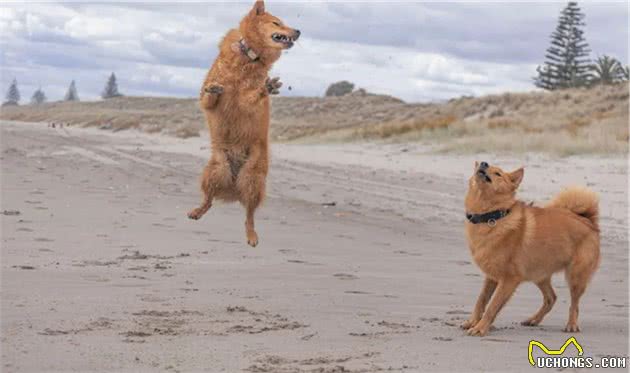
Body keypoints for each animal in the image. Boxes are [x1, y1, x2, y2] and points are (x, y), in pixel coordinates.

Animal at [188, 1, 302, 246]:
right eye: (277, 23)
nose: (298, 31)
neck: (248, 57)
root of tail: (233, 184)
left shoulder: (245, 105)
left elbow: (251, 97)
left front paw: (266, 88)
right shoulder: (210, 102)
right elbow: (209, 95)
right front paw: (214, 89)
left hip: (252, 178)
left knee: (249, 214)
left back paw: (252, 236)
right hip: (216, 170)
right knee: (209, 200)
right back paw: (197, 211)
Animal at [464, 161, 604, 336]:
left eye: (498, 174)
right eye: (483, 165)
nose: (483, 163)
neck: (492, 216)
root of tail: (587, 221)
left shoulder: (509, 279)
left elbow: (492, 306)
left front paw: (480, 327)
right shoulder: (492, 276)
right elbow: (481, 300)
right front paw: (472, 322)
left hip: (576, 276)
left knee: (574, 304)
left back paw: (571, 325)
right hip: (539, 274)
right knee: (551, 298)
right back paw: (533, 320)